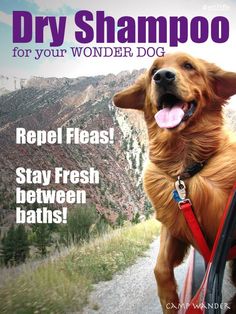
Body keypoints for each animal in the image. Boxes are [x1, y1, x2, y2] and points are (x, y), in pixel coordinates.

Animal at [113, 52, 236, 312]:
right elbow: (160, 267)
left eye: (188, 66)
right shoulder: (173, 226)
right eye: (153, 71)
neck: (185, 167)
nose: (163, 77)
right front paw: (169, 300)